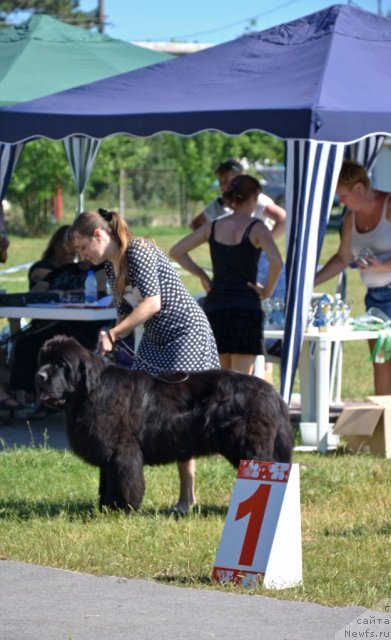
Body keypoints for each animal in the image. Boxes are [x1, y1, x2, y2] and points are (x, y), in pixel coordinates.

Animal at [36, 336, 294, 510]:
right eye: (44, 360)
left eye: (61, 364)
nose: (39, 376)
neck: (92, 391)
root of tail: (270, 391)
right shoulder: (107, 454)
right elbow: (106, 483)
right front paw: (105, 508)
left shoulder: (123, 451)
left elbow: (124, 482)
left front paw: (123, 508)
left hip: (250, 446)